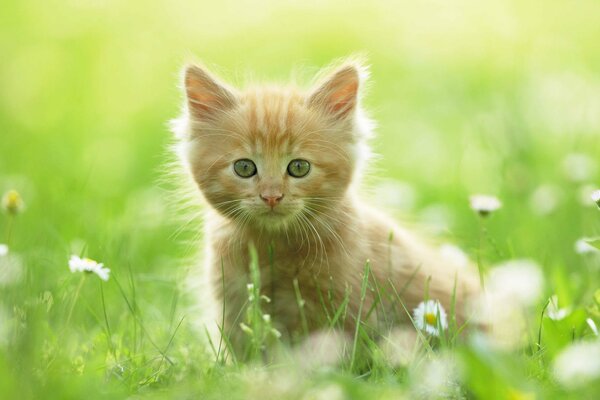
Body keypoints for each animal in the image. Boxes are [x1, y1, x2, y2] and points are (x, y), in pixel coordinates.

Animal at [171, 58, 480, 354]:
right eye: (244, 167)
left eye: (299, 167)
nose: (272, 196)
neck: (274, 246)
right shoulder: (234, 299)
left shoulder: (348, 302)